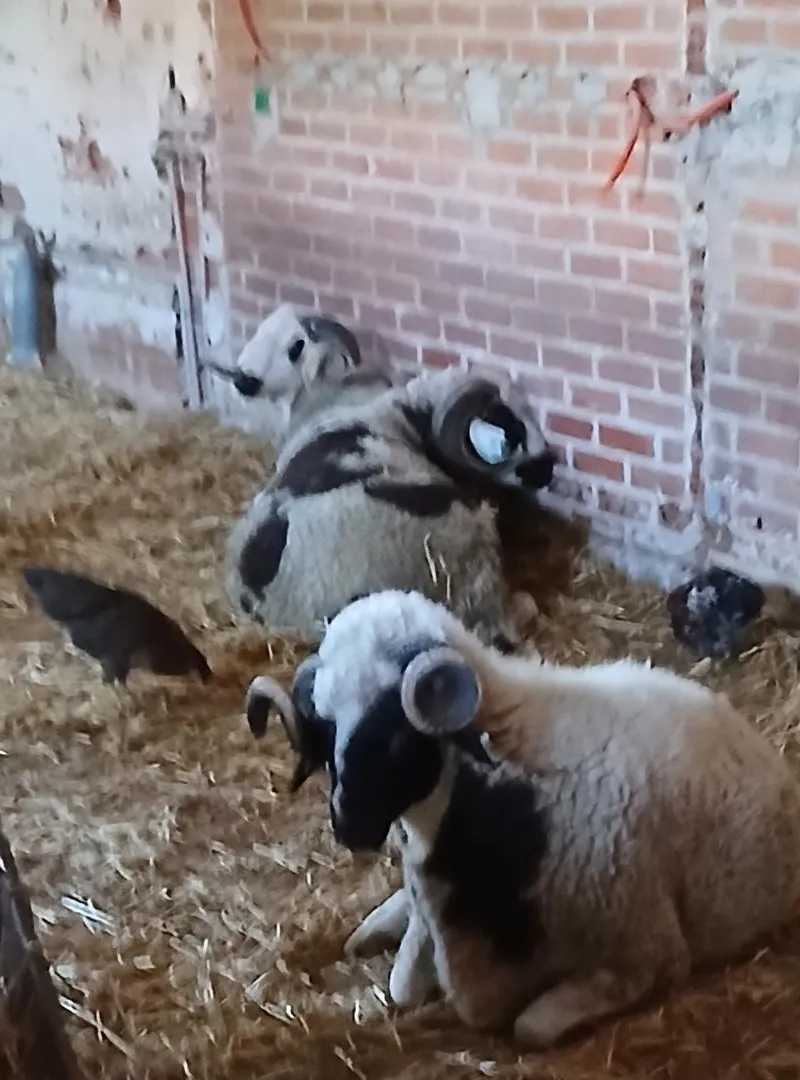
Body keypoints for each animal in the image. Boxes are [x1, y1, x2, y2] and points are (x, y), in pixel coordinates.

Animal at [244, 588, 800, 1048]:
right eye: (326, 727)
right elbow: (402, 986)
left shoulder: (649, 954)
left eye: (398, 734)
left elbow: (529, 1029)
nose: (348, 824)